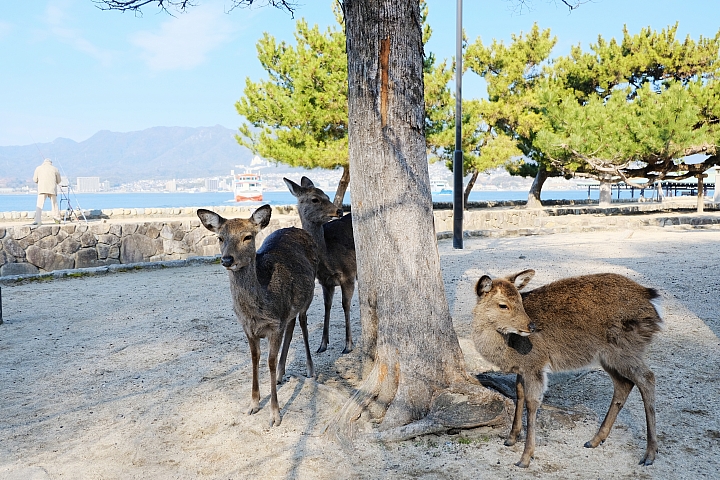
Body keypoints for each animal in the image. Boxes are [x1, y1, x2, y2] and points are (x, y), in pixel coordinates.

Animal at [198, 204, 320, 426]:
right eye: (220, 237)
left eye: (247, 237)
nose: (227, 259)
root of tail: (297, 229)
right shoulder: (248, 327)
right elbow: (255, 358)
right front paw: (253, 405)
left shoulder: (275, 325)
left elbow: (269, 362)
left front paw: (275, 415)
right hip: (288, 311)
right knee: (291, 325)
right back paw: (281, 374)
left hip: (308, 296)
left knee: (303, 322)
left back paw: (310, 370)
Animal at [284, 176, 358, 352]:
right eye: (315, 199)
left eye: (327, 196)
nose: (338, 211)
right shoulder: (325, 282)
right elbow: (327, 306)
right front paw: (322, 344)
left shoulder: (349, 274)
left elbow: (345, 305)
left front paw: (348, 345)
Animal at [472, 270, 664, 468]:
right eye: (503, 305)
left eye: (520, 299)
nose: (531, 326)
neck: (509, 348)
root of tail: (651, 298)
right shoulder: (524, 367)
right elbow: (519, 393)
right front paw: (511, 438)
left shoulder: (535, 362)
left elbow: (532, 403)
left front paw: (525, 458)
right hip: (608, 357)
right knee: (624, 384)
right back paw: (594, 440)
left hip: (624, 349)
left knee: (647, 378)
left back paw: (649, 454)